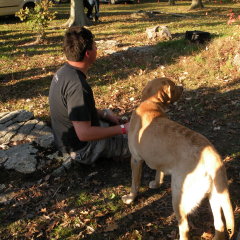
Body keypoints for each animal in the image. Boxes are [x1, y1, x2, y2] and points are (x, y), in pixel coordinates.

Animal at [122, 78, 234, 239]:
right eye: (174, 87)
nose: (182, 87)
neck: (151, 102)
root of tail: (212, 156)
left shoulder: (136, 159)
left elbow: (134, 183)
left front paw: (130, 198)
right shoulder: (160, 161)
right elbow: (159, 172)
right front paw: (156, 183)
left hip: (178, 197)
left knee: (185, 227)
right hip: (215, 194)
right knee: (220, 224)